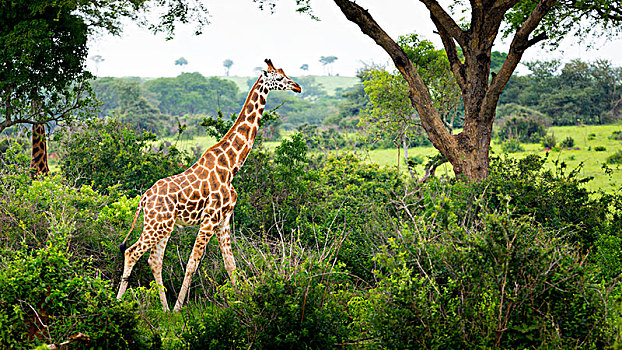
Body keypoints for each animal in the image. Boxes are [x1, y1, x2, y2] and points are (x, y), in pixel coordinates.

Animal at [117, 58, 302, 312]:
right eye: (280, 78)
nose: (297, 86)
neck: (232, 166)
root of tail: (144, 198)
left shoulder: (224, 220)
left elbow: (231, 265)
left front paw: (242, 302)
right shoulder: (210, 219)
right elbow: (192, 263)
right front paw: (179, 308)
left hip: (164, 226)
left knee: (154, 260)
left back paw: (164, 309)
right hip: (157, 225)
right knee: (132, 252)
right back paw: (118, 302)